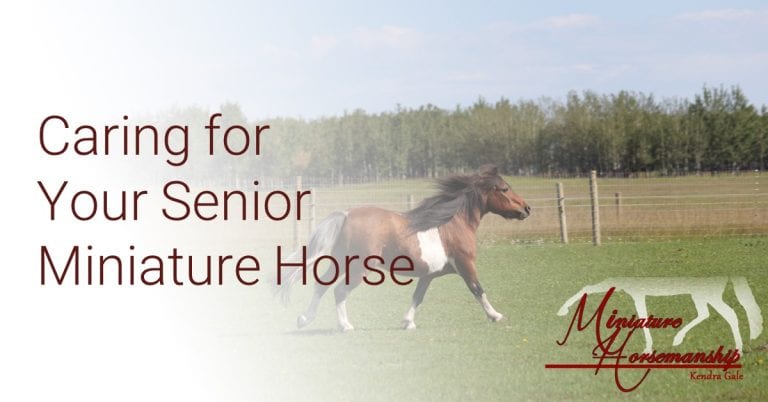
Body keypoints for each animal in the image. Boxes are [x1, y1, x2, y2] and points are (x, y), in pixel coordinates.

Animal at [275, 164, 531, 331]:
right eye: (505, 189)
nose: (527, 208)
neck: (452, 223)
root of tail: (346, 215)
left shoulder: (429, 275)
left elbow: (418, 296)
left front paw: (408, 322)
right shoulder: (465, 264)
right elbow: (477, 289)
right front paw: (496, 315)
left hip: (340, 263)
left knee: (321, 287)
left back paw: (304, 319)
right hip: (358, 269)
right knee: (339, 291)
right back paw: (345, 325)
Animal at [557, 277, 764, 353]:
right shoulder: (637, 293)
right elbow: (643, 319)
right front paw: (648, 348)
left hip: (706, 294)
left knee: (728, 314)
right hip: (701, 295)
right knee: (710, 313)